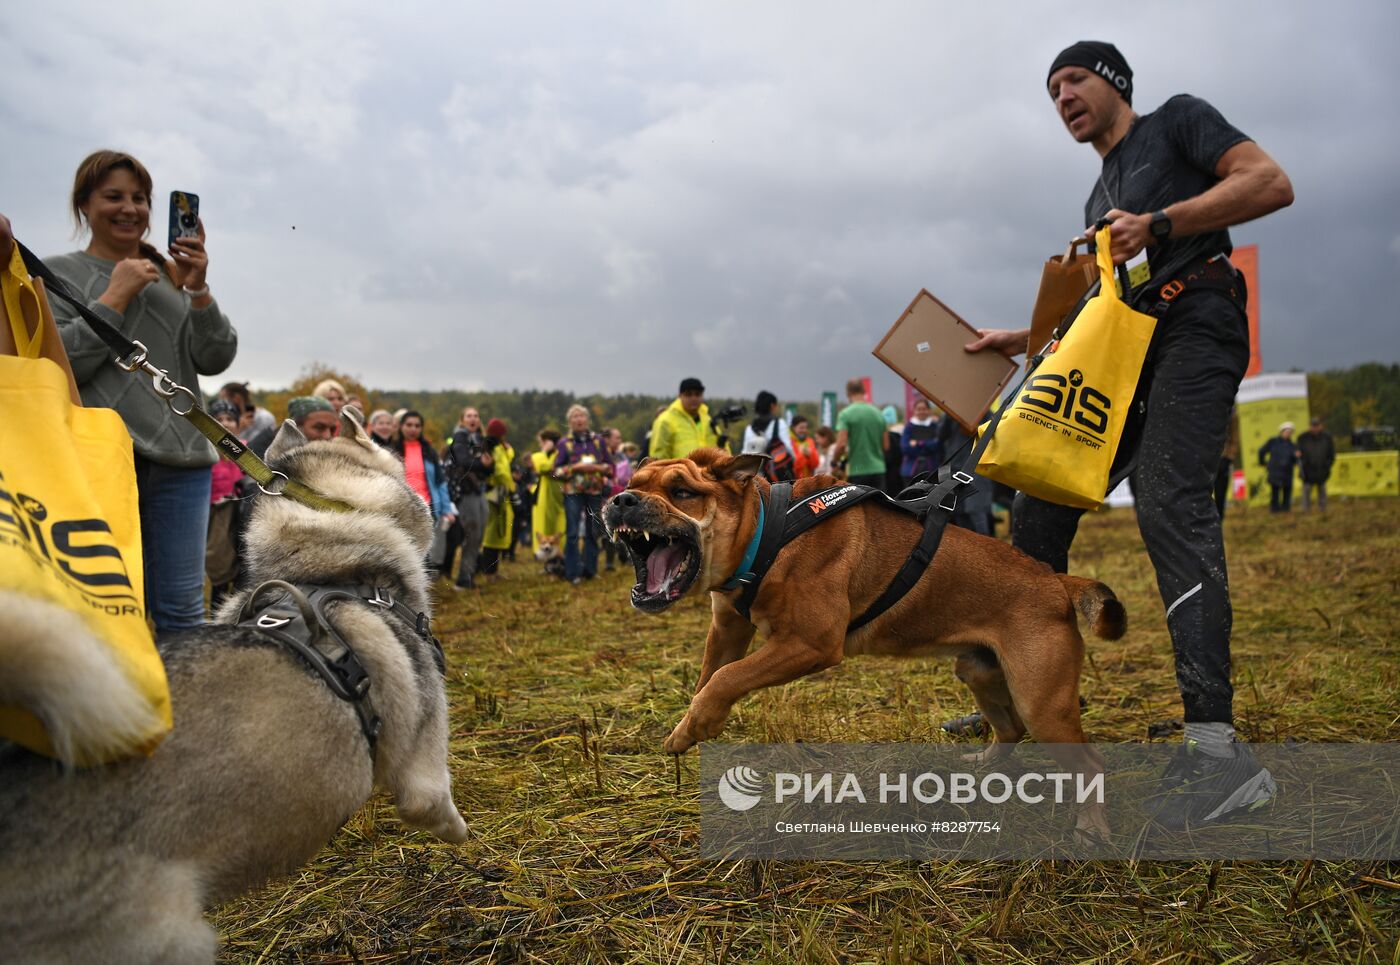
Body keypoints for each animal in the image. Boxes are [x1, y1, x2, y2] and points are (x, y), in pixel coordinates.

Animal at [604, 450, 1125, 834]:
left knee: (1091, 764)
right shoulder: (730, 627)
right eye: (634, 481)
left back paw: (1091, 830)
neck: (768, 531)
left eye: (682, 492)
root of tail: (1057, 581)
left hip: (1042, 701)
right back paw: (981, 770)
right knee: (1010, 729)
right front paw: (689, 728)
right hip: (980, 673)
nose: (621, 500)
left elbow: (727, 677)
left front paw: (699, 725)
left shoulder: (810, 642)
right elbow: (709, 679)